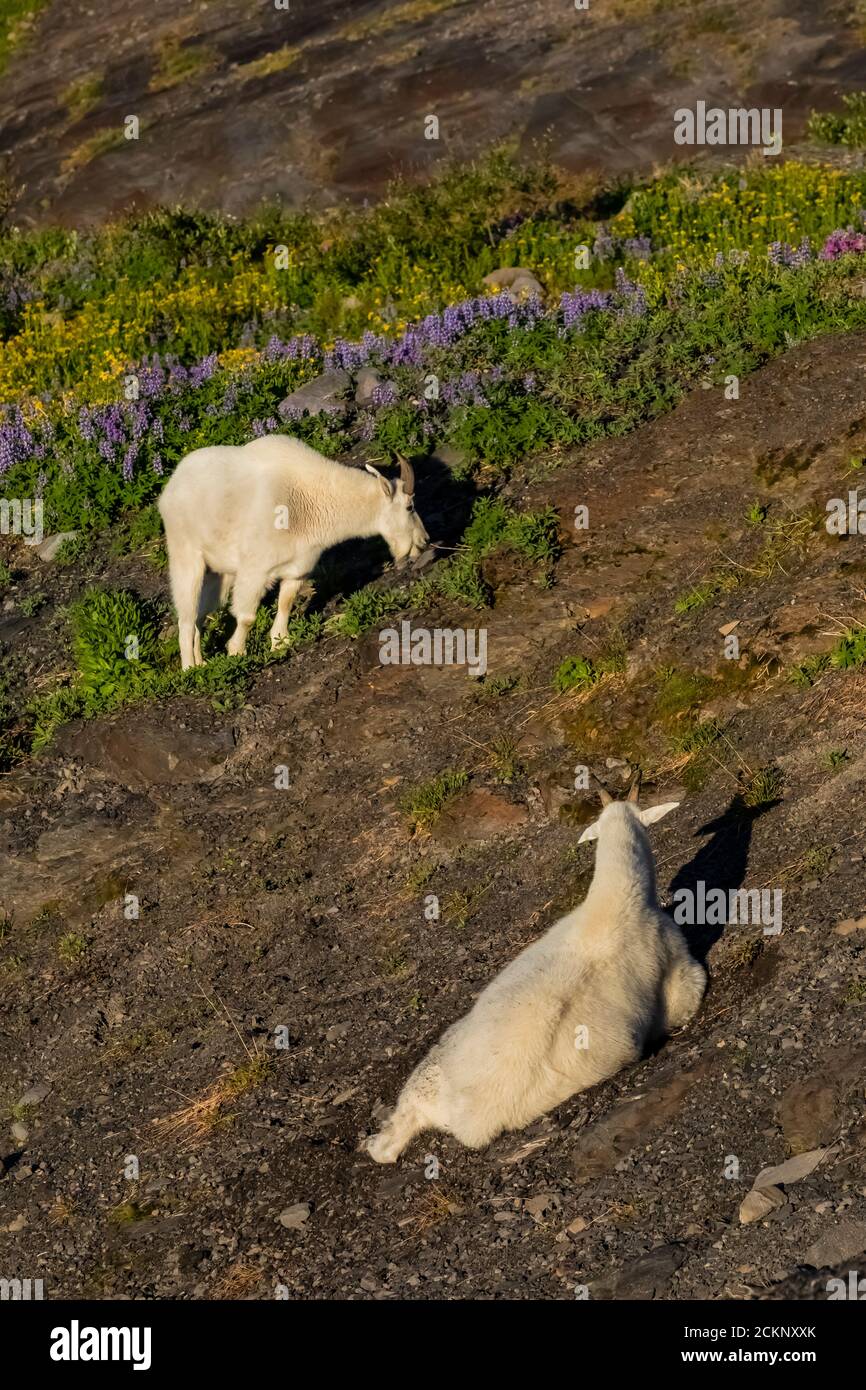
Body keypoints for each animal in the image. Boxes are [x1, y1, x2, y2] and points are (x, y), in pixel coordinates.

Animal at [157, 434, 429, 669]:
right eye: (410, 506)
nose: (424, 541)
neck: (310, 500)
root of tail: (171, 487)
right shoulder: (255, 570)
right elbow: (247, 616)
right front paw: (237, 652)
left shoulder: (298, 567)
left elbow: (286, 602)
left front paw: (280, 643)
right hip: (186, 556)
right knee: (186, 617)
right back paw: (190, 669)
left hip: (218, 573)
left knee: (199, 617)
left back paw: (201, 662)